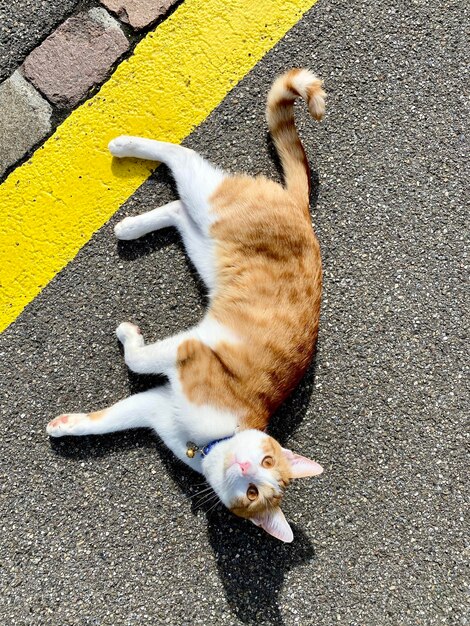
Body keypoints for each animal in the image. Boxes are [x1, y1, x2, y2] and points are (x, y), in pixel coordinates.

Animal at [46, 67, 326, 536]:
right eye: (267, 460)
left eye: (257, 491)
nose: (246, 466)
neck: (209, 441)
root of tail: (300, 209)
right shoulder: (187, 350)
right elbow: (137, 358)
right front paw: (129, 334)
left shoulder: (154, 407)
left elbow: (105, 420)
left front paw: (65, 426)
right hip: (210, 204)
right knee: (182, 157)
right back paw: (125, 144)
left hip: (205, 246)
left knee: (177, 207)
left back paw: (130, 227)